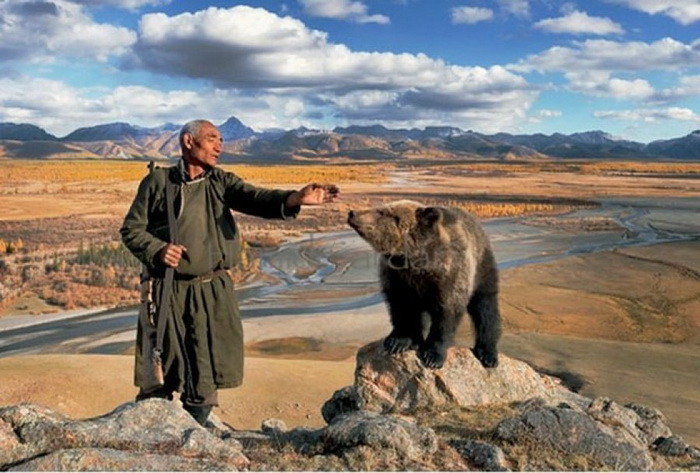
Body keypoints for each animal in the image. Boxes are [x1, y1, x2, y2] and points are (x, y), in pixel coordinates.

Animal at [348, 199, 500, 368]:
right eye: (379, 207)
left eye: (382, 212)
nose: (352, 213)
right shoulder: (397, 278)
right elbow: (401, 307)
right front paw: (398, 341)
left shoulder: (449, 277)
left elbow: (446, 314)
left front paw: (432, 355)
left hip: (482, 268)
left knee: (485, 308)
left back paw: (488, 354)